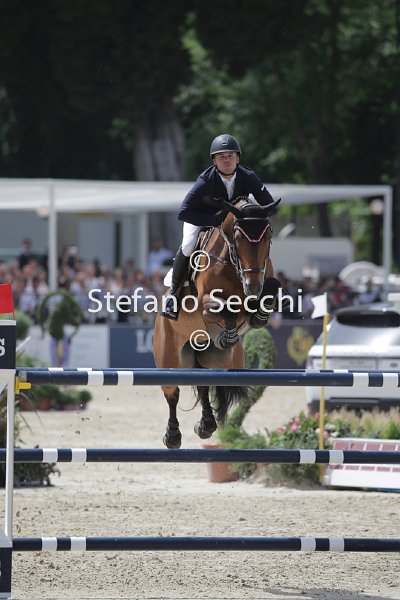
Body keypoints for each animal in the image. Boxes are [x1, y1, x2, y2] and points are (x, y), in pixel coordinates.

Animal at [153, 196, 281, 448]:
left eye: (268, 236)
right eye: (238, 238)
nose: (252, 287)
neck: (232, 264)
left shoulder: (264, 282)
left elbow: (270, 288)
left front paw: (258, 316)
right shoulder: (204, 303)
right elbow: (226, 308)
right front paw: (227, 335)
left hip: (215, 362)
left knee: (204, 385)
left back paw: (206, 425)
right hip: (169, 359)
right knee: (172, 393)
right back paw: (173, 436)